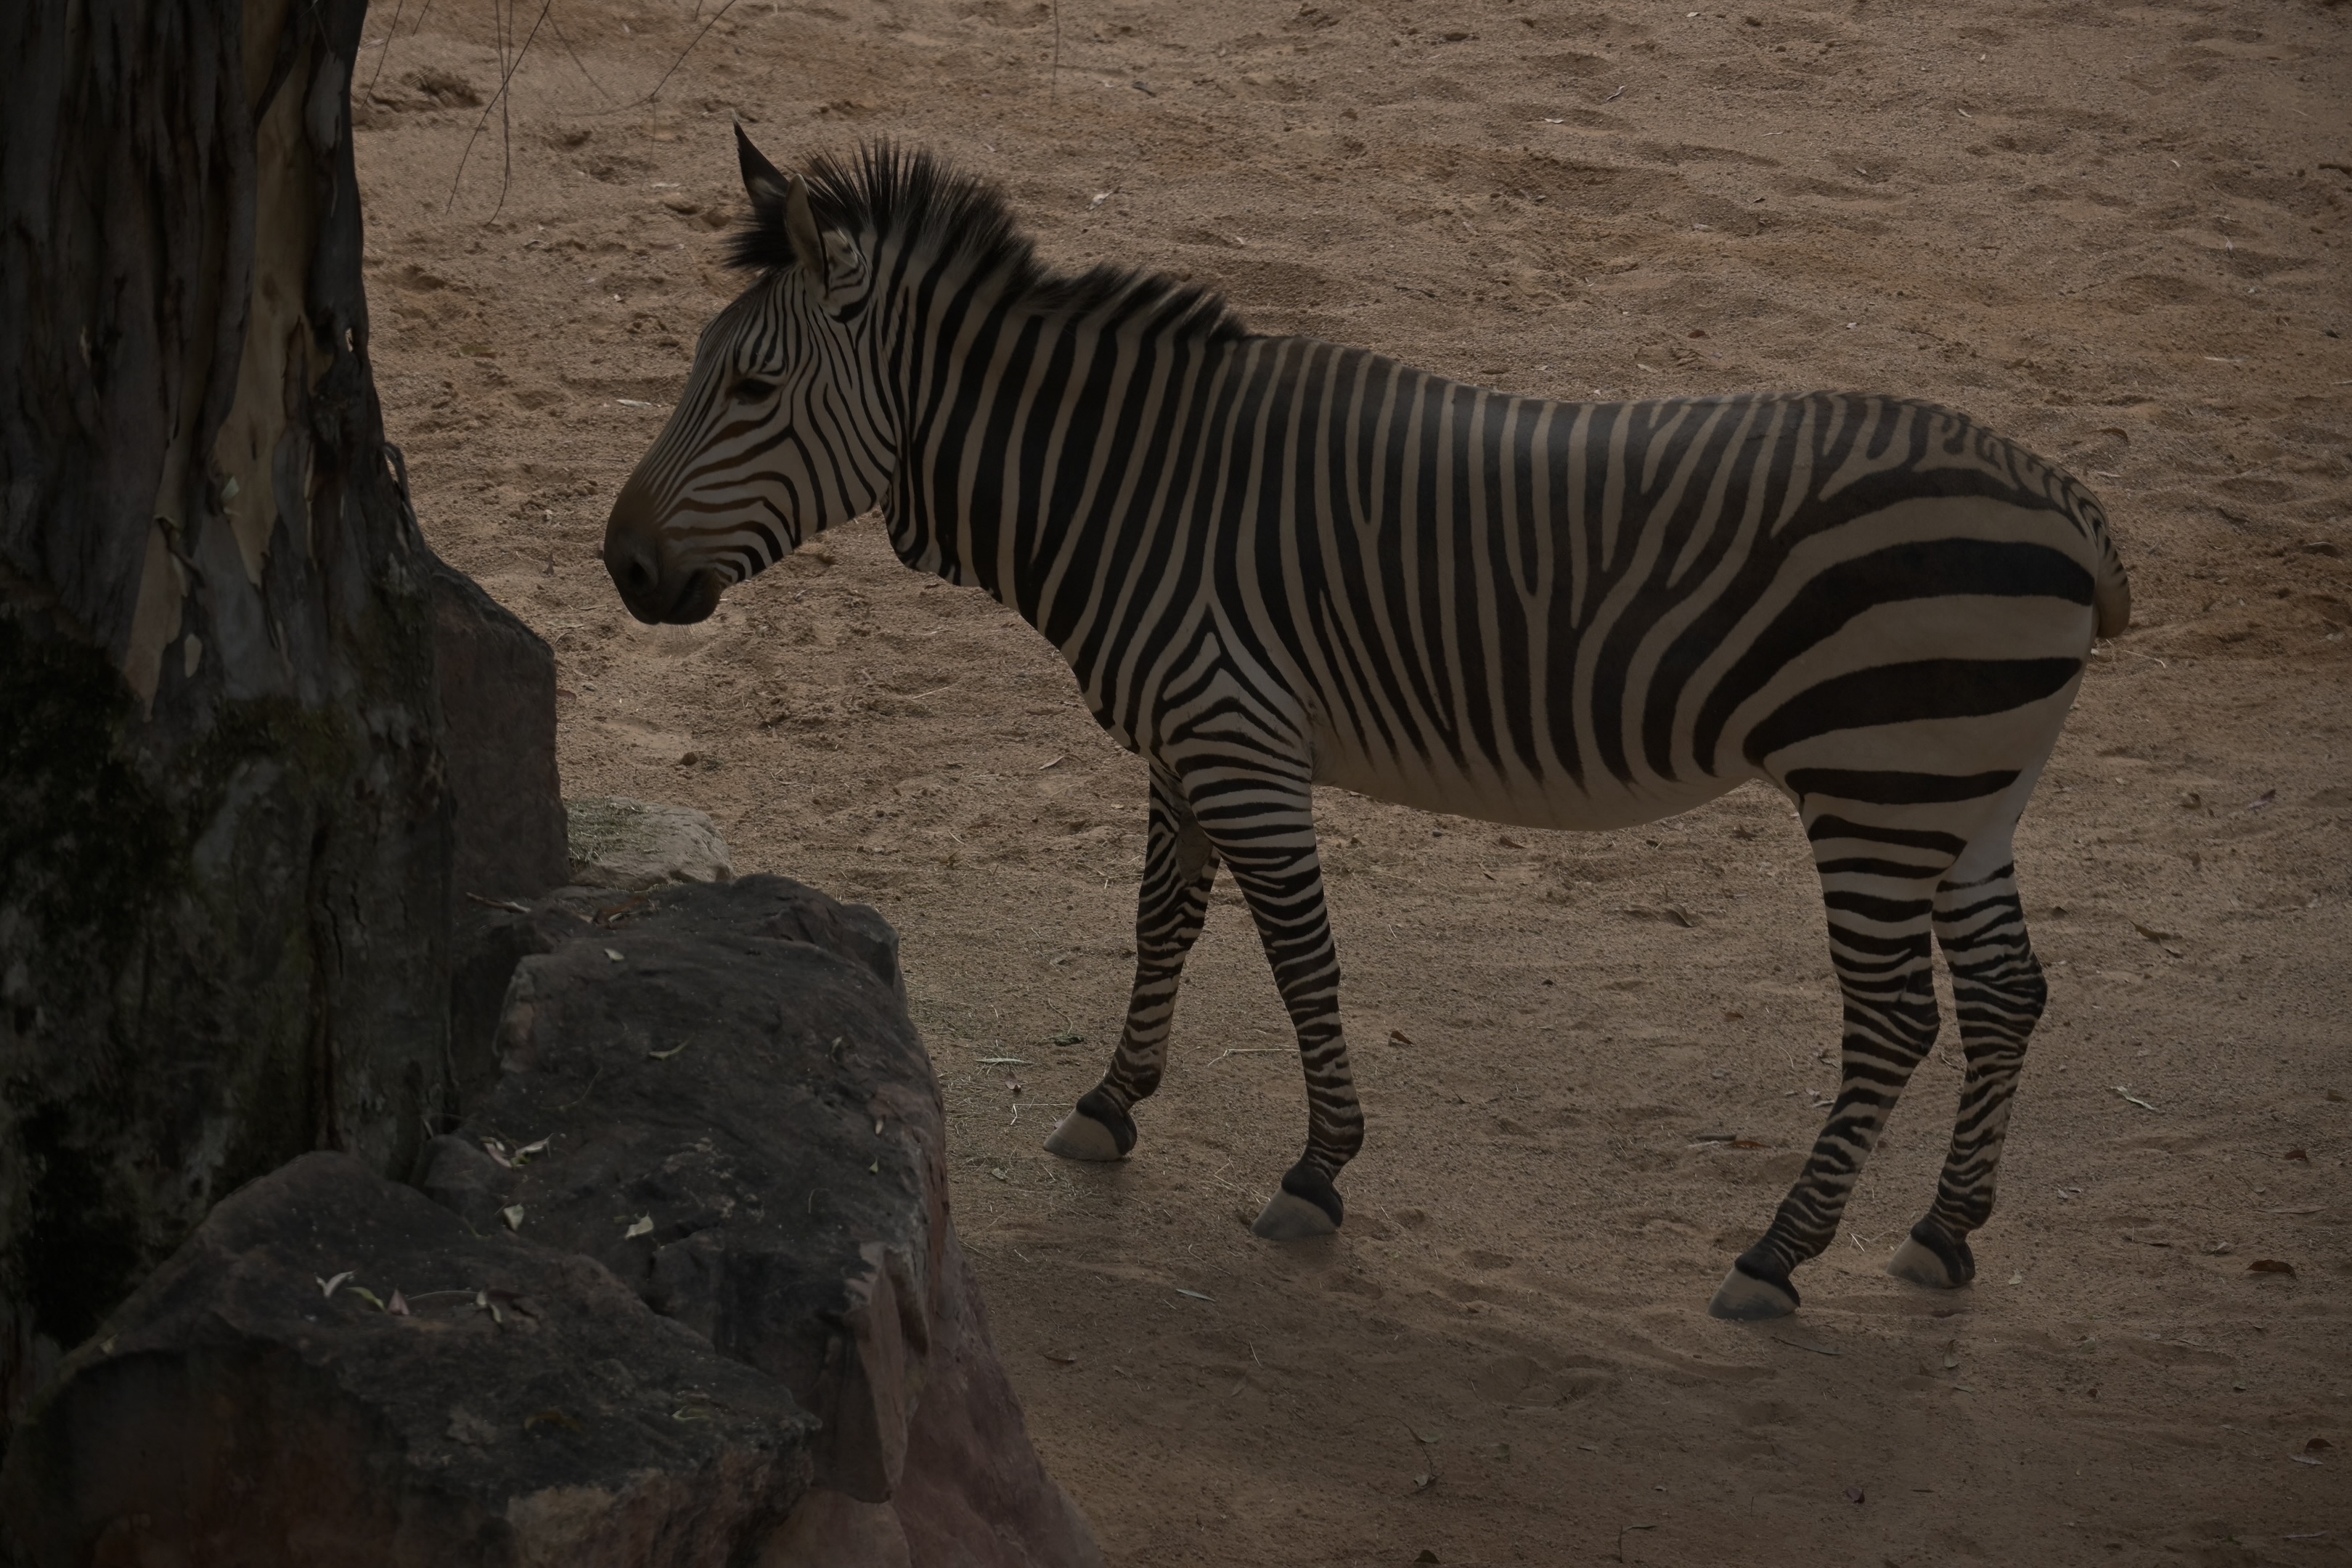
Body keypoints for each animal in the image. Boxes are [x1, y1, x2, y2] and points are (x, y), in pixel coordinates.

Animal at [602, 132, 2130, 1321]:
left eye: (749, 390)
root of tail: (2064, 500)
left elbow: (1299, 957)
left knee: (1894, 1019)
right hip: (1966, 797)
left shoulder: (1238, 738)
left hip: (1879, 784)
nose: (619, 566)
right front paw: (1112, 1105)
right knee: (2009, 994)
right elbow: (1165, 921)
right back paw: (1944, 1234)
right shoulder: (1186, 741)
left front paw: (1317, 1168)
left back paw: (1779, 1255)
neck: (1128, 490)